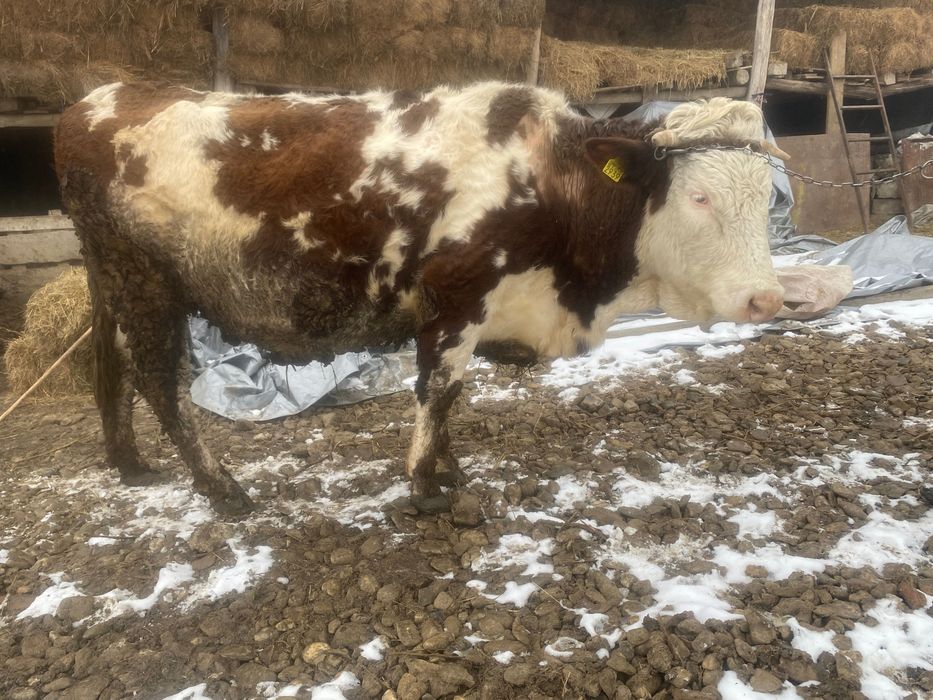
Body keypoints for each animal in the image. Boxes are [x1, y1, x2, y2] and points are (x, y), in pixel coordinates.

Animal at [54, 81, 785, 516]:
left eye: (764, 195)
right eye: (699, 197)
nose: (767, 300)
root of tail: (105, 96)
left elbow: (451, 395)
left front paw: (448, 467)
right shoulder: (455, 295)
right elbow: (440, 389)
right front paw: (427, 483)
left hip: (110, 283)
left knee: (109, 368)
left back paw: (129, 463)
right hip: (145, 283)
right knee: (157, 382)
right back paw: (222, 487)